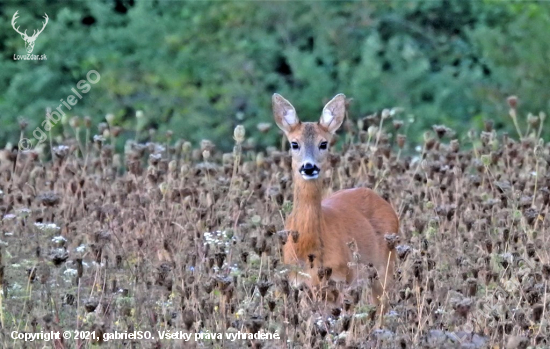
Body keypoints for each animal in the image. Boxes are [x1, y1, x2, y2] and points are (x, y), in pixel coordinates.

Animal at [274, 92, 398, 308]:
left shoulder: (341, 278)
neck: (309, 247)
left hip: (385, 265)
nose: (309, 167)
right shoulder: (299, 284)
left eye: (323, 143)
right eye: (294, 144)